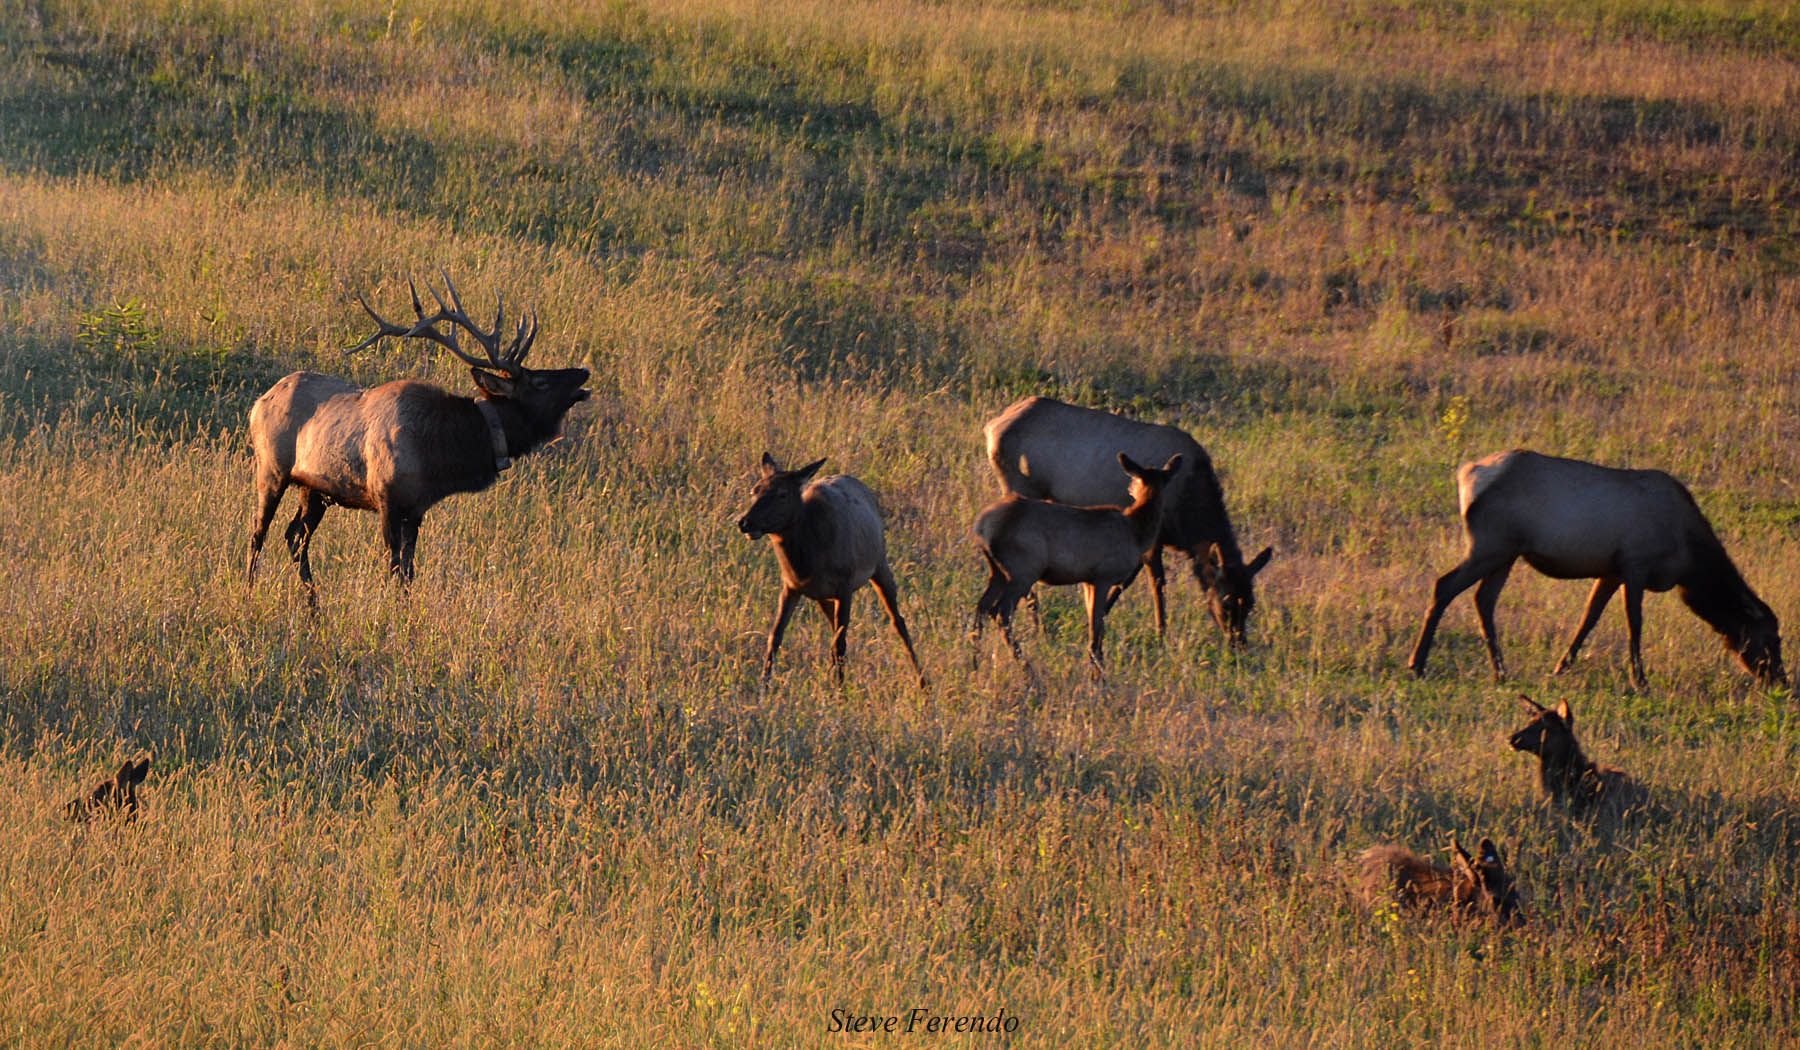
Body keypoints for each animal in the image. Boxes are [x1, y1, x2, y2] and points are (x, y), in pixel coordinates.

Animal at [246, 273, 590, 596]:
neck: (439, 457)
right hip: (271, 469)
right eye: (539, 382)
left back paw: (314, 605)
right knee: (258, 534)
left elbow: (409, 572)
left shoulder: (417, 509)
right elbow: (394, 568)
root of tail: (258, 403)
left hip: (315, 489)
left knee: (295, 537)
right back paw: (249, 592)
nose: (583, 372)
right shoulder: (386, 498)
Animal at [735, 453, 926, 688]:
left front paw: (840, 690)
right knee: (835, 628)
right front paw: (764, 685)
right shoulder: (790, 586)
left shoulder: (845, 584)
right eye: (754, 490)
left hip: (879, 565)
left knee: (897, 621)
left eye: (782, 494)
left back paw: (922, 682)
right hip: (824, 596)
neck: (807, 562)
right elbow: (775, 637)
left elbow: (838, 644)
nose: (745, 522)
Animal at [970, 452, 1182, 672]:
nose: (1130, 490)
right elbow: (1097, 631)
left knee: (982, 608)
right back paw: (1027, 669)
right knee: (1001, 613)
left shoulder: (1088, 581)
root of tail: (982, 526)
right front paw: (1099, 673)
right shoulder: (1103, 576)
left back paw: (975, 664)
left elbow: (1095, 627)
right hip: (1022, 570)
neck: (1136, 532)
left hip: (998, 571)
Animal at [984, 397, 1271, 647]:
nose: (1238, 644)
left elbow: (1127, 580)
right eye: (1226, 601)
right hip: (1018, 485)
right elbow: (1155, 583)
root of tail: (991, 427)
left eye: (1251, 602)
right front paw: (1160, 634)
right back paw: (1038, 625)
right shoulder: (1153, 536)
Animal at [1408, 449, 1784, 690]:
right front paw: (1640, 679)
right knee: (1444, 586)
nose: (1781, 681)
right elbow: (1634, 623)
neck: (1689, 560)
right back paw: (1417, 664)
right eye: (1769, 640)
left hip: (1505, 553)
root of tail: (1467, 474)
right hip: (1490, 546)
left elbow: (1589, 618)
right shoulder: (1635, 564)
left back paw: (1501, 671)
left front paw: (1561, 666)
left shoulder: (1611, 571)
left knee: (1483, 600)